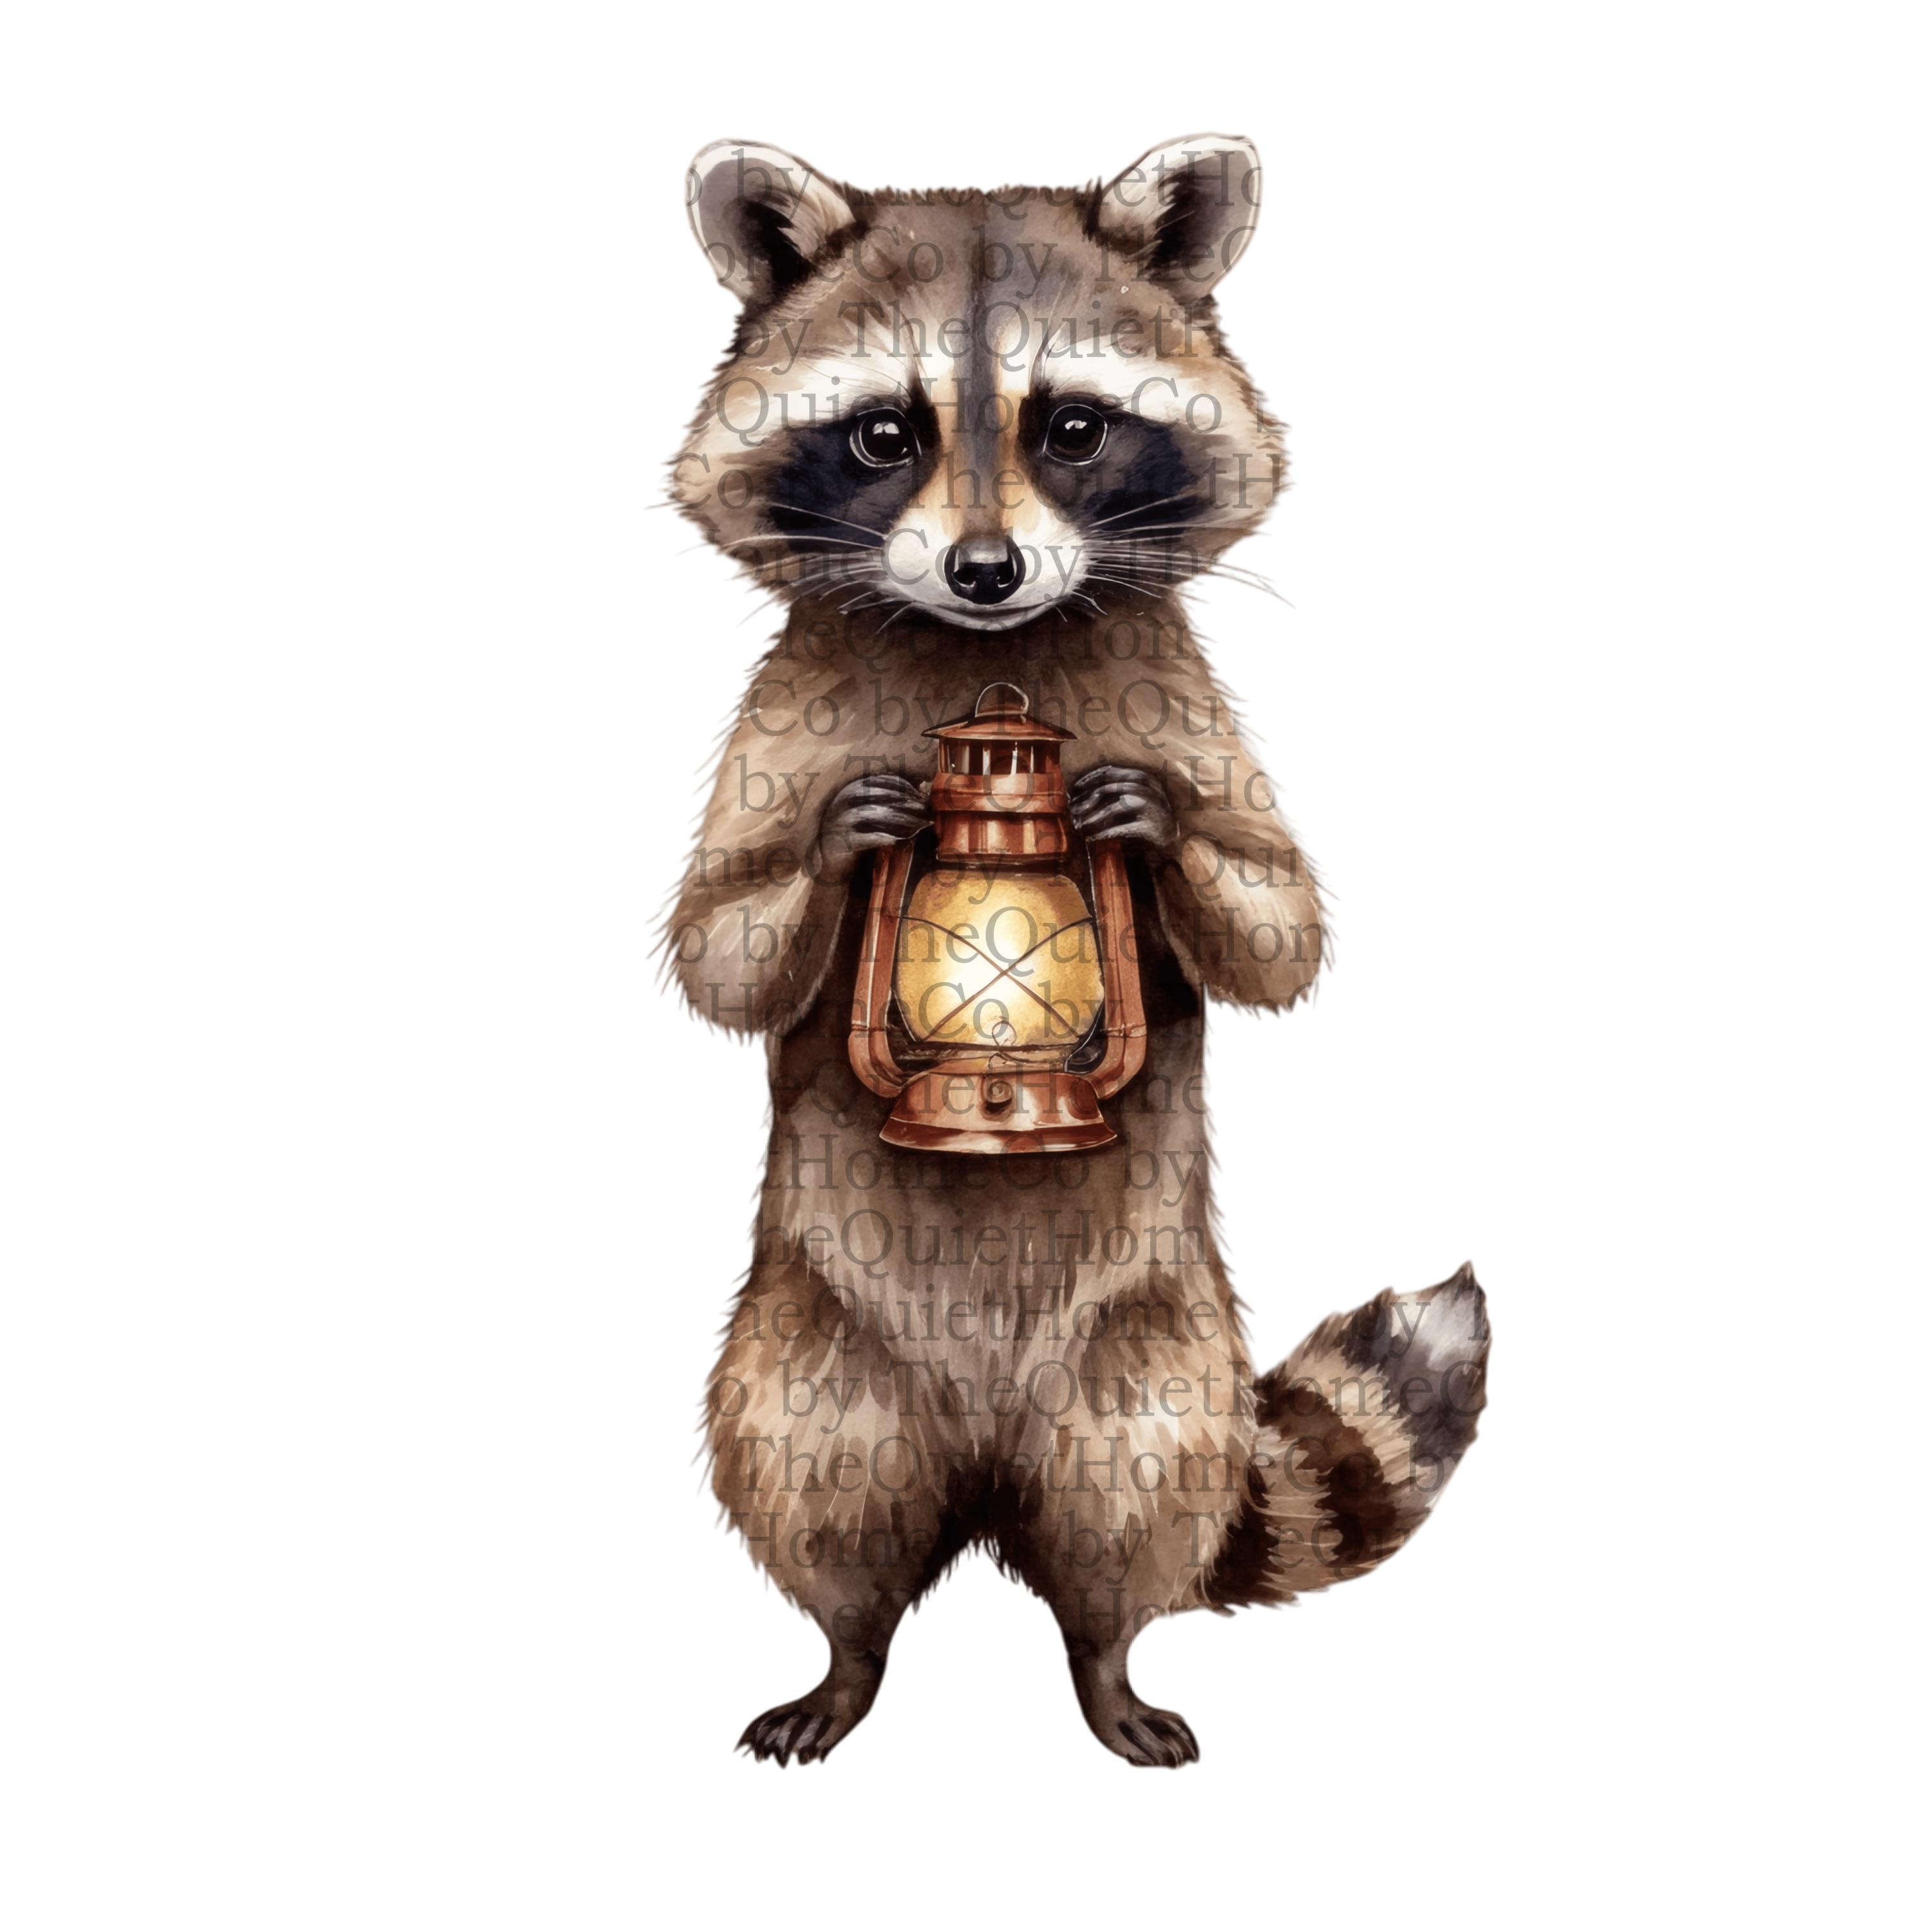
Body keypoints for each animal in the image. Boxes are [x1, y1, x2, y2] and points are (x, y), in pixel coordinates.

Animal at [666, 135, 1489, 1766]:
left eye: (1073, 427)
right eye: (882, 433)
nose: (986, 571)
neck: (980, 664)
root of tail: (985, 1481)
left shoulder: (1183, 707)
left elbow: (1278, 927)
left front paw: (1155, 836)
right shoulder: (781, 728)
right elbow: (719, 944)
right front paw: (834, 853)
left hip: (1160, 1359)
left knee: (1129, 1510)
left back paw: (1108, 1663)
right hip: (806, 1352)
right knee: (817, 1489)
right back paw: (844, 1656)